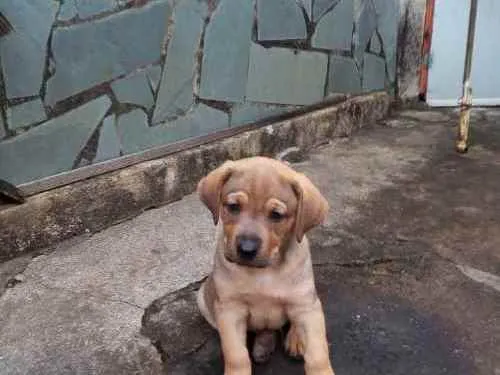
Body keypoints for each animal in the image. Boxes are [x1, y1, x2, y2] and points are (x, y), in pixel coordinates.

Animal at [197, 157, 334, 375]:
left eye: (276, 215)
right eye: (233, 206)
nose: (246, 249)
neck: (265, 271)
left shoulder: (307, 307)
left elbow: (318, 355)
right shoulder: (230, 310)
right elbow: (236, 355)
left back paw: (295, 339)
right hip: (203, 298)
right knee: (266, 330)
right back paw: (264, 346)